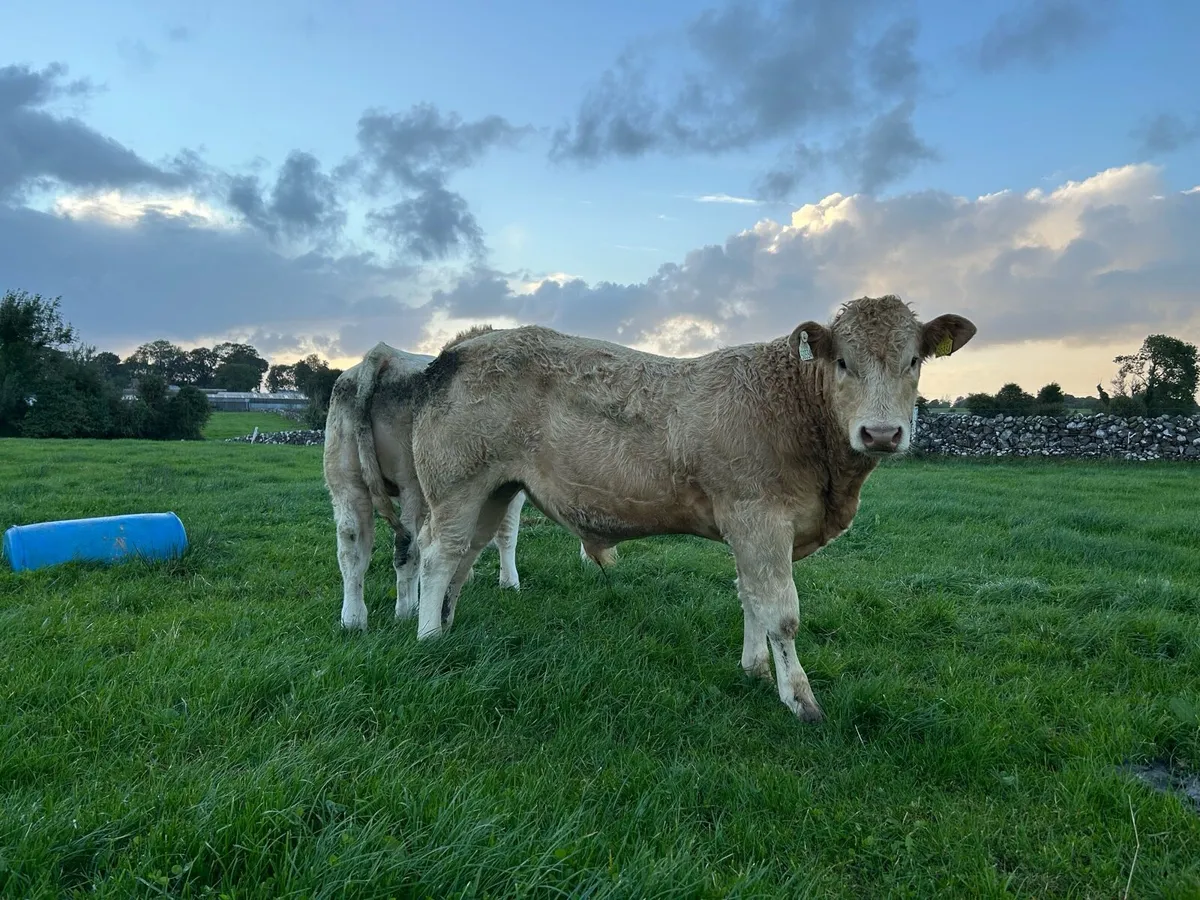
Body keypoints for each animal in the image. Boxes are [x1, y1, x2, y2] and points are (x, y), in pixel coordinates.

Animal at [322, 329, 528, 632]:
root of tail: (385, 356)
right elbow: (506, 534)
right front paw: (509, 582)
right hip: (412, 483)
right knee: (408, 546)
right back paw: (407, 610)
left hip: (344, 478)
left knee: (350, 544)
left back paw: (353, 619)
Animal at [392, 294, 976, 722]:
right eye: (842, 362)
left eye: (913, 361)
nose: (881, 433)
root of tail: (460, 348)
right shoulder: (760, 519)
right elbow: (781, 613)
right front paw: (799, 699)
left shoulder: (750, 529)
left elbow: (750, 598)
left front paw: (753, 669)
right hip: (457, 485)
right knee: (438, 556)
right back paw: (427, 639)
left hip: (492, 491)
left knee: (464, 558)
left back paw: (444, 625)